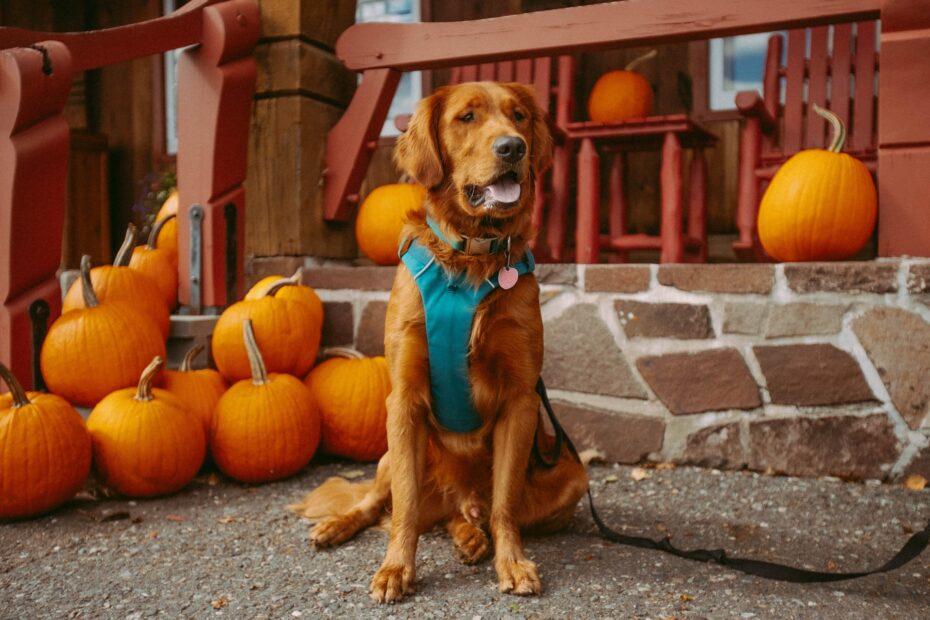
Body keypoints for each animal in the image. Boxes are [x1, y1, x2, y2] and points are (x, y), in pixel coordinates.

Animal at [294, 81, 588, 600]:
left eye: (519, 116)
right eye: (466, 117)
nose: (513, 147)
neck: (469, 255)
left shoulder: (521, 400)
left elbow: (505, 505)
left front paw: (512, 564)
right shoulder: (403, 399)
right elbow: (405, 509)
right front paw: (395, 568)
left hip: (572, 473)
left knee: (472, 513)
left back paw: (472, 535)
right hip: (389, 453)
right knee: (378, 503)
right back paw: (337, 526)